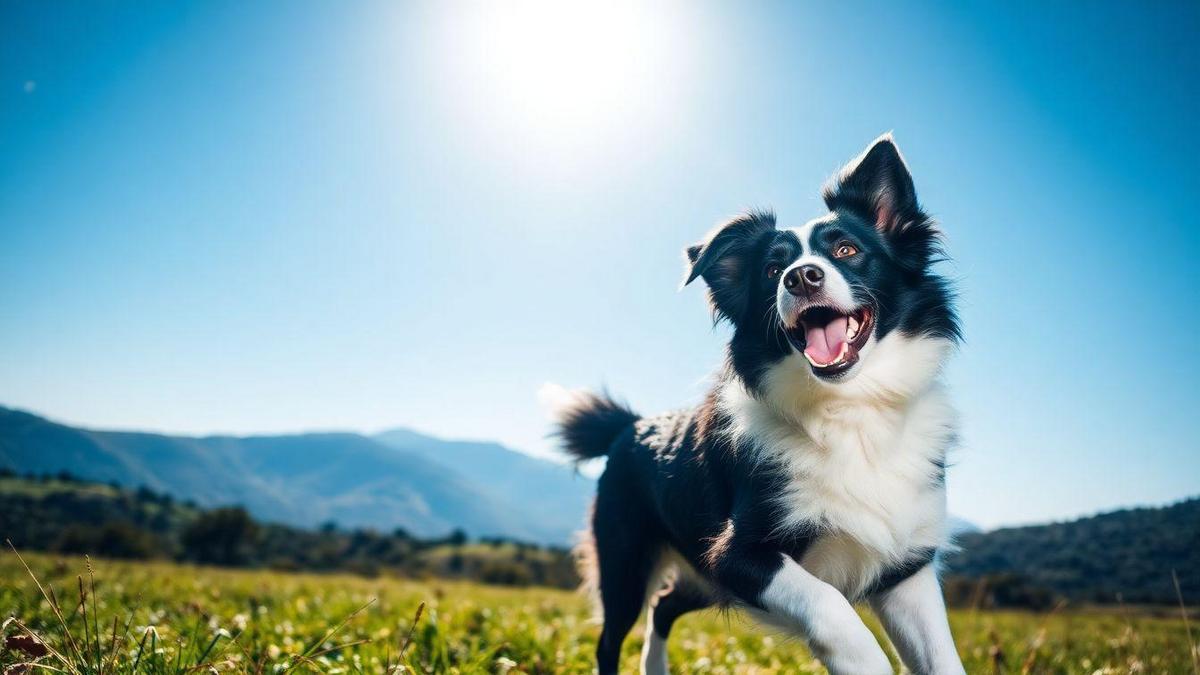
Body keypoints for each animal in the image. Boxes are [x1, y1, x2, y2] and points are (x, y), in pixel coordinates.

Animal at [552, 133, 964, 667]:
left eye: (847, 249)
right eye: (772, 269)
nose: (801, 277)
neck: (849, 407)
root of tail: (631, 425)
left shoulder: (906, 567)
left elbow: (942, 657)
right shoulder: (735, 553)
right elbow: (832, 607)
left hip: (697, 573)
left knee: (665, 604)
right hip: (627, 558)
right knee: (612, 636)